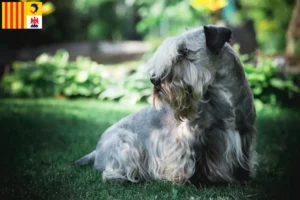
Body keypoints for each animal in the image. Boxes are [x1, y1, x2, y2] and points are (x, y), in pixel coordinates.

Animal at [74, 25, 256, 184]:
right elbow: (187, 161)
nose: (154, 80)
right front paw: (185, 180)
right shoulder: (188, 138)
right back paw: (122, 177)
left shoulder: (245, 134)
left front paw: (243, 177)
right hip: (125, 145)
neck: (225, 99)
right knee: (113, 170)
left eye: (184, 52)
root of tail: (96, 150)